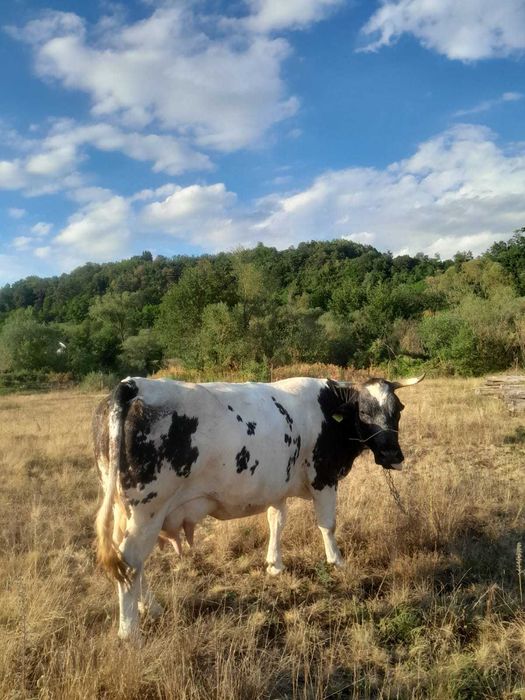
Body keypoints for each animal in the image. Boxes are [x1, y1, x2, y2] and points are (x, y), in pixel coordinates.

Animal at [93, 374, 423, 640]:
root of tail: (132, 385)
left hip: (125, 511)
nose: (392, 454)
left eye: (397, 410)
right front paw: (337, 561)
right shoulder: (324, 478)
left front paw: (274, 564)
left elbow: (276, 521)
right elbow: (327, 524)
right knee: (130, 562)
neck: (327, 410)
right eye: (364, 412)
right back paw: (130, 633)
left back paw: (150, 607)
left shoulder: (277, 487)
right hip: (147, 511)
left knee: (130, 563)